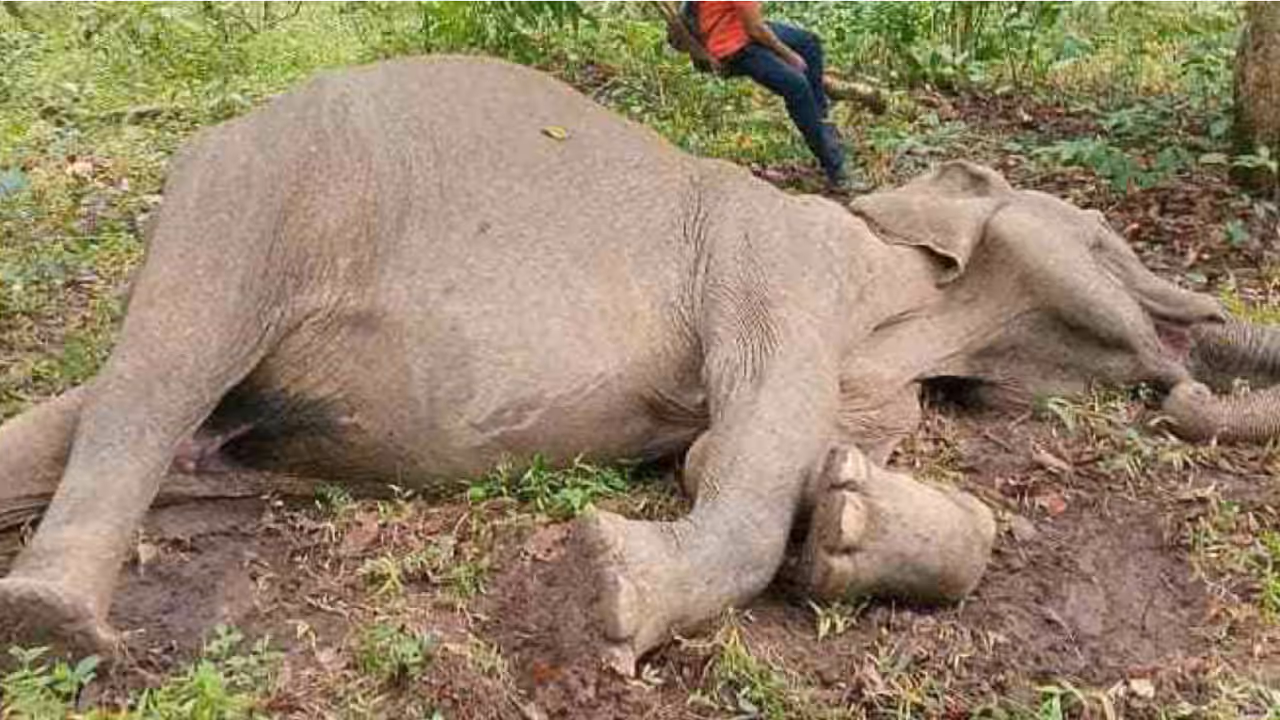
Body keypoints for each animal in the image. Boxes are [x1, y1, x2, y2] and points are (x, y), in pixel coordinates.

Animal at [0, 56, 1269, 672]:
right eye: (1103, 241)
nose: (1187, 345)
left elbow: (748, 455)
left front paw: (846, 518)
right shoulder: (776, 261)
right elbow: (735, 467)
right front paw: (610, 595)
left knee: (97, 417)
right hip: (262, 185)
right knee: (161, 368)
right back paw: (54, 621)